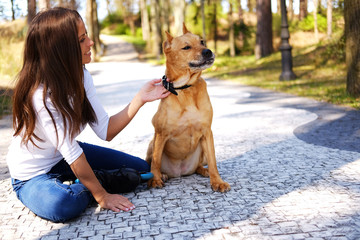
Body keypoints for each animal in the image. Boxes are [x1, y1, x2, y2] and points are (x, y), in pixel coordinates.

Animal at [145, 23, 229, 193]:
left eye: (202, 42)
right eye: (186, 47)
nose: (207, 51)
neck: (186, 89)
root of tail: (180, 172)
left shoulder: (207, 132)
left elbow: (213, 161)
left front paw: (217, 181)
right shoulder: (160, 133)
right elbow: (156, 161)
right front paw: (155, 179)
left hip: (202, 148)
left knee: (200, 165)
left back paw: (204, 170)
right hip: (151, 144)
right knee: (154, 162)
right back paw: (162, 175)